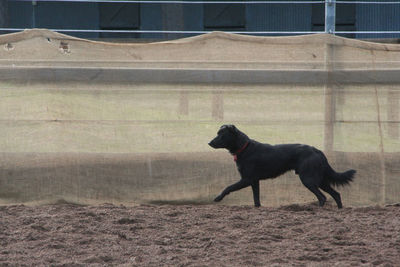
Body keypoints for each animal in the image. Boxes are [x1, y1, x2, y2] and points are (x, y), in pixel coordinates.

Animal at [208, 125, 354, 209]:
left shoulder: (247, 179)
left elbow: (228, 187)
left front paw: (218, 198)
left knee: (322, 197)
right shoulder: (254, 181)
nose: (209, 142)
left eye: (222, 134)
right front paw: (258, 208)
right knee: (336, 194)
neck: (245, 148)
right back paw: (340, 210)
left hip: (308, 179)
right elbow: (256, 199)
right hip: (320, 180)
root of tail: (317, 150)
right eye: (217, 133)